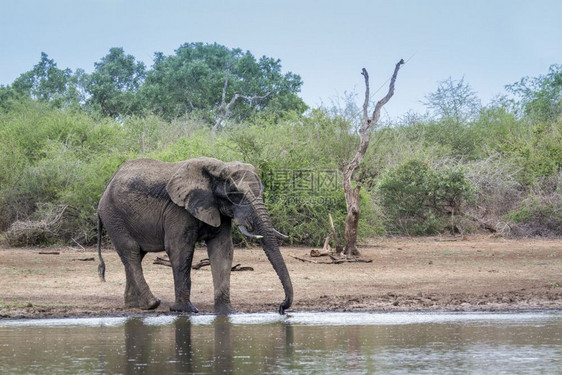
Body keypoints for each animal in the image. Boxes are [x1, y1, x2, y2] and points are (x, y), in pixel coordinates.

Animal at [95, 157, 294, 316]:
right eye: (235, 195)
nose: (281, 308)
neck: (218, 169)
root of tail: (106, 186)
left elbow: (223, 250)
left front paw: (227, 312)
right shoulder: (178, 209)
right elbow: (179, 249)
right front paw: (186, 310)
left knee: (137, 255)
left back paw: (135, 305)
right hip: (114, 215)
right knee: (131, 251)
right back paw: (152, 303)